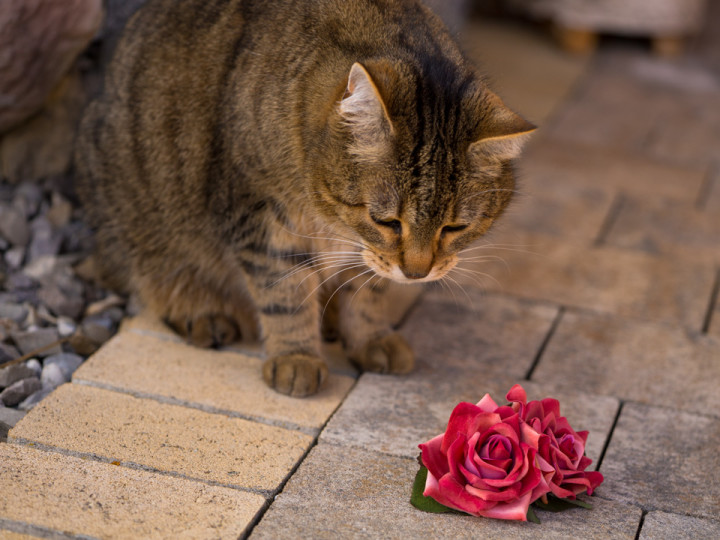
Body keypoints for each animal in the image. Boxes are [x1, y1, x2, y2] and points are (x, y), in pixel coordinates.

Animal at [74, 0, 536, 396]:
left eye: (455, 227)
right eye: (387, 222)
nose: (417, 274)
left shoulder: (363, 253)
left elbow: (368, 291)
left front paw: (368, 335)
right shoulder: (261, 217)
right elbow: (286, 292)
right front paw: (296, 356)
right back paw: (202, 309)